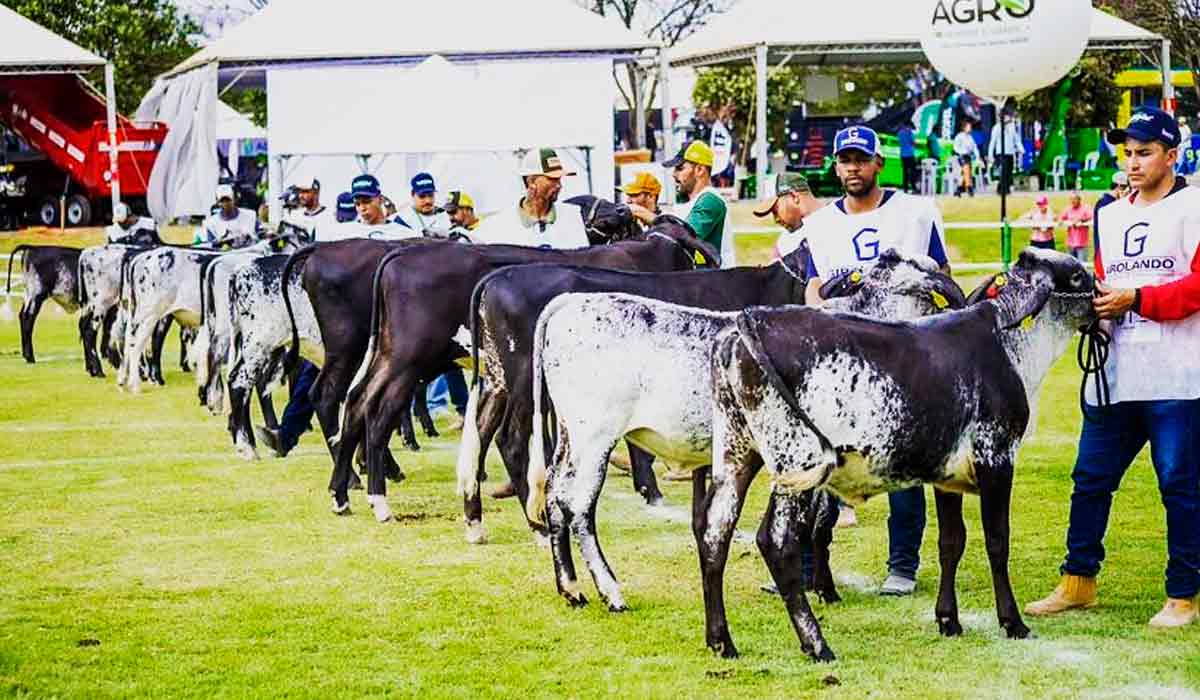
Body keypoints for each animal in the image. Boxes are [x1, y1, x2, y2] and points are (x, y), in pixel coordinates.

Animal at [525, 253, 964, 614]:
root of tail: (572, 303)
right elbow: (817, 524)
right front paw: (822, 588)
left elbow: (820, 525)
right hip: (594, 439)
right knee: (578, 506)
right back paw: (610, 592)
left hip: (568, 438)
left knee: (555, 496)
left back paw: (571, 588)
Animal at [696, 250, 1099, 662]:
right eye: (1078, 277)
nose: (1103, 301)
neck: (1011, 343)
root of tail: (749, 321)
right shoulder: (997, 459)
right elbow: (997, 542)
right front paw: (1012, 623)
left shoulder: (947, 477)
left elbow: (950, 543)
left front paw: (948, 621)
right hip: (796, 465)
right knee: (776, 542)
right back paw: (817, 644)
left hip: (736, 455)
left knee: (715, 532)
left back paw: (722, 641)